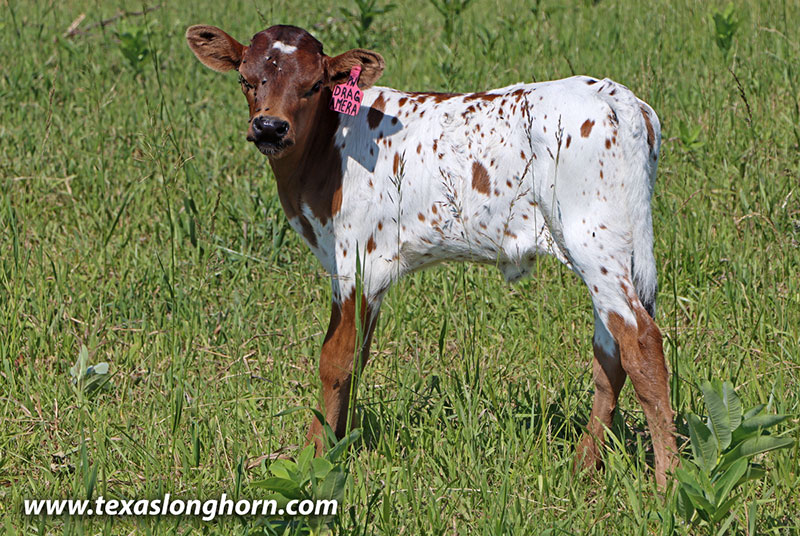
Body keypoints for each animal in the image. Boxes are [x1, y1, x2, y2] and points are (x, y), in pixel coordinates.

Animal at [186, 24, 678, 487]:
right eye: (246, 79)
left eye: (314, 86)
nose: (270, 127)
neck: (327, 146)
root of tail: (613, 93)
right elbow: (358, 355)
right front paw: (336, 441)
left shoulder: (357, 263)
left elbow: (335, 361)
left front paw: (312, 456)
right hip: (612, 250)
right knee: (609, 355)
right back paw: (585, 465)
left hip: (591, 240)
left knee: (641, 344)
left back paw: (667, 482)